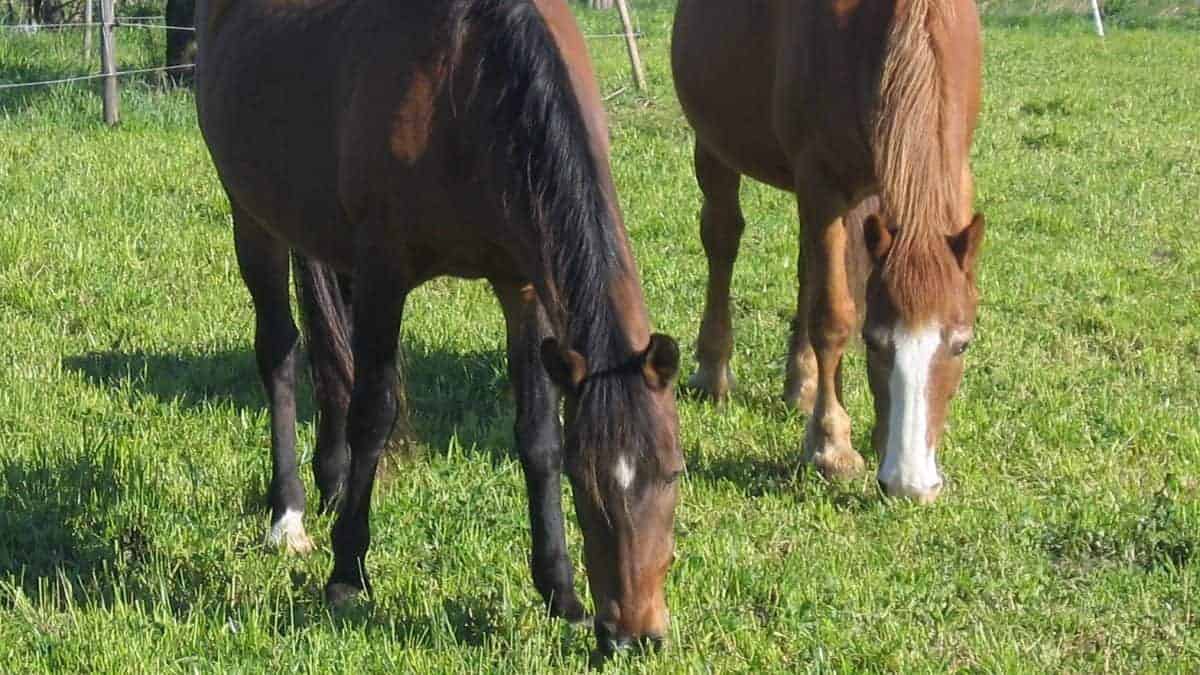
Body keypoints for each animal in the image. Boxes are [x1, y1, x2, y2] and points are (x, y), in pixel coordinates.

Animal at [194, 0, 683, 653]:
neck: (469, 79)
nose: (634, 634)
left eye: (674, 472)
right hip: (252, 215)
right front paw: (346, 575)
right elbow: (374, 414)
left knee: (328, 353)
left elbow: (538, 436)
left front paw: (561, 593)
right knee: (279, 353)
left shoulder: (522, 285)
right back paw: (289, 515)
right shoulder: (384, 270)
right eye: (586, 482)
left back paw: (332, 482)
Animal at [672, 0, 985, 503]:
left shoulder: (951, 176)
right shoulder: (823, 183)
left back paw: (801, 386)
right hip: (716, 144)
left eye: (961, 344)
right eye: (874, 342)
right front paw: (831, 446)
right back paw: (713, 371)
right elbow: (834, 317)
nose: (910, 484)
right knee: (722, 240)